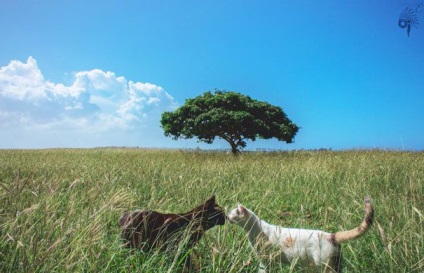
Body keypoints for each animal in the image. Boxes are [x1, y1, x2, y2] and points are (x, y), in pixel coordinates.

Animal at [229, 197, 374, 270]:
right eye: (229, 212)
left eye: (232, 214)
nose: (227, 217)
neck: (255, 230)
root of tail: (331, 235)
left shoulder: (266, 259)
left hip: (324, 266)